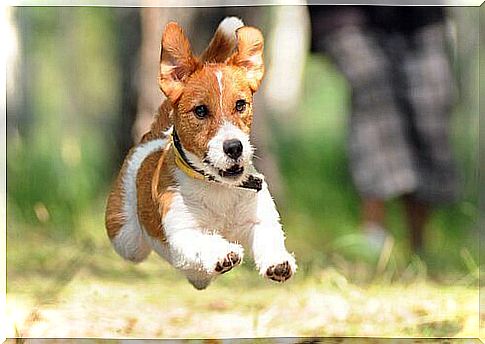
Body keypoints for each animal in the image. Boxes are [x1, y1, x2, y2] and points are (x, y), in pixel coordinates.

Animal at [105, 17, 294, 288]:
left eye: (240, 105)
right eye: (201, 111)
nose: (234, 147)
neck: (217, 186)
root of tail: (154, 136)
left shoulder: (259, 217)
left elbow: (269, 236)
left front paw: (278, 261)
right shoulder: (183, 230)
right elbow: (202, 240)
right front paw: (222, 253)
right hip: (126, 239)